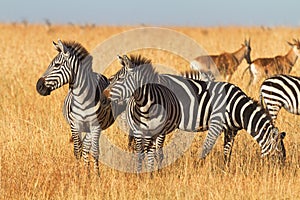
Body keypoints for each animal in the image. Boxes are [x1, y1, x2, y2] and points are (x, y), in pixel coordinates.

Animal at [36, 39, 122, 176]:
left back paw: (89, 174)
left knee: (87, 148)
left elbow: (95, 151)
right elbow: (77, 151)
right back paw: (87, 174)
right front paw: (77, 175)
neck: (82, 99)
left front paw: (97, 176)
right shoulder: (74, 125)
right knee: (84, 148)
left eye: (57, 65)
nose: (38, 86)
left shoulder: (95, 126)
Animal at [104, 54, 288, 172]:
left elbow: (227, 151)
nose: (281, 172)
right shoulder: (216, 125)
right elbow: (207, 147)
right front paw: (199, 167)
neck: (237, 108)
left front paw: (225, 169)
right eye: (279, 154)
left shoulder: (231, 130)